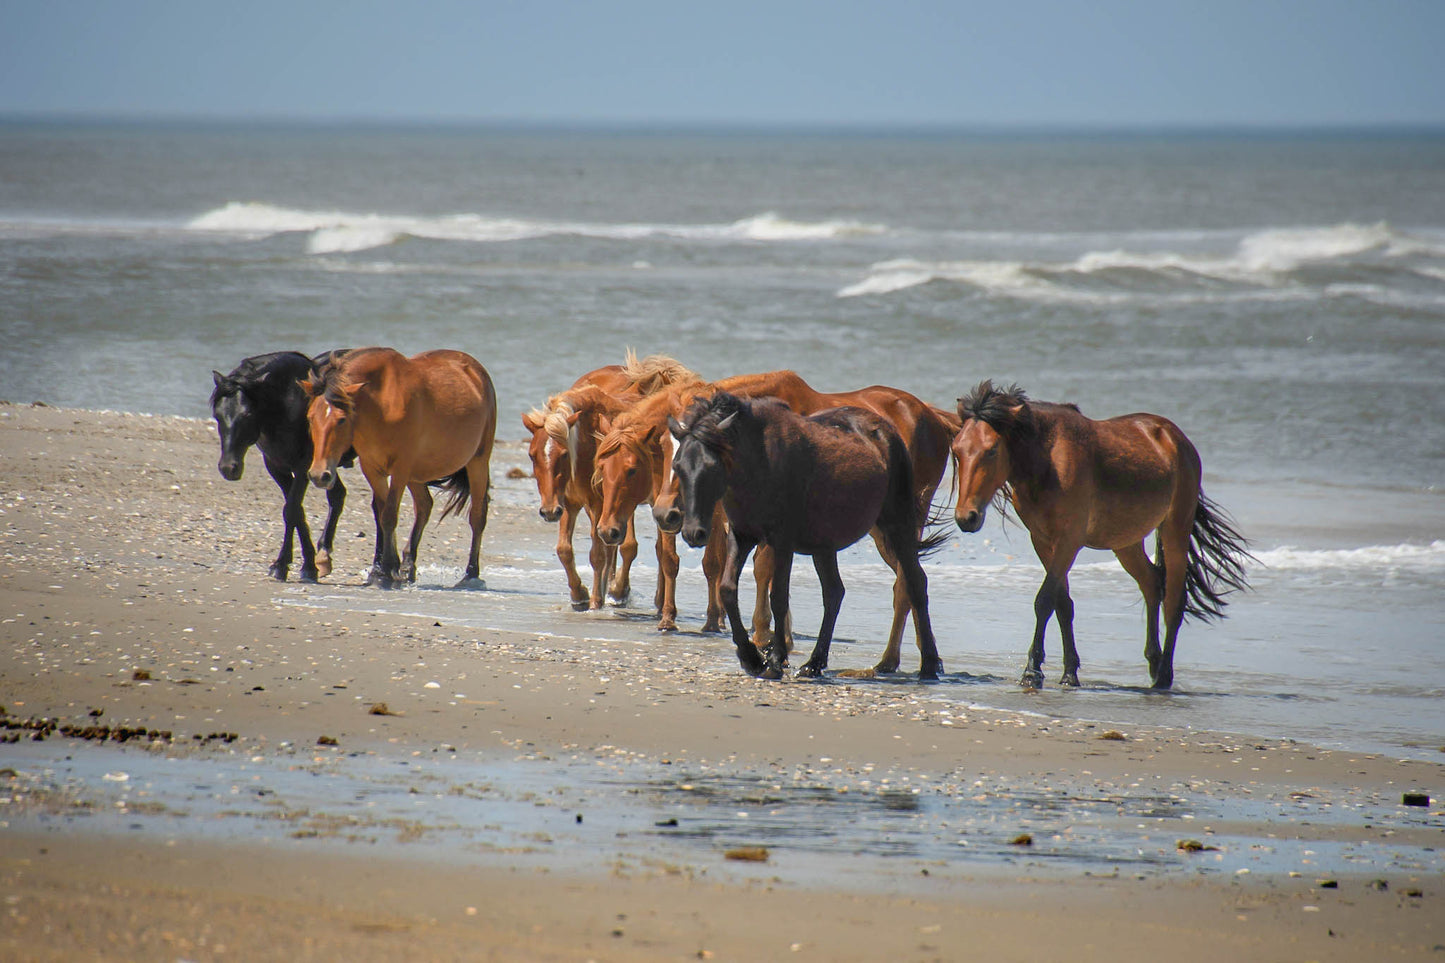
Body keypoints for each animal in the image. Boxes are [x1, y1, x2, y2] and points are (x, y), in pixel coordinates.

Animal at [209, 351, 352, 581]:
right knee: (338, 495)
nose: (228, 468)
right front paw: (308, 564)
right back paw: (324, 556)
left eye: (247, 414)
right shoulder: (277, 467)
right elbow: (297, 512)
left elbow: (291, 510)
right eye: (218, 415)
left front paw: (282, 565)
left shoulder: (303, 468)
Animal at [303, 345, 497, 584]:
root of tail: (477, 372)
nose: (319, 475)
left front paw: (385, 571)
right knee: (424, 506)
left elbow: (388, 515)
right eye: (310, 417)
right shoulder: (372, 468)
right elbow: (382, 512)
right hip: (416, 474)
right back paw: (408, 565)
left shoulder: (400, 468)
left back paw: (471, 574)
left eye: (341, 420)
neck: (382, 402)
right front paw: (385, 568)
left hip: (478, 462)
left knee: (478, 515)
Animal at [667, 387, 942, 679]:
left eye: (712, 466)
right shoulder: (741, 537)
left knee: (915, 583)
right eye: (678, 466)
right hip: (825, 545)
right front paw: (751, 657)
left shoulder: (782, 542)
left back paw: (929, 665)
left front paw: (775, 659)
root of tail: (887, 431)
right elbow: (728, 589)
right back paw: (814, 663)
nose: (693, 533)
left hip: (897, 526)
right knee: (834, 592)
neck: (759, 462)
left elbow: (778, 597)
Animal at [947, 378, 1254, 685]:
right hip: (1126, 542)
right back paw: (1154, 663)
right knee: (1152, 583)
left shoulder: (1068, 541)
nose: (966, 517)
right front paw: (1069, 672)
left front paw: (1032, 671)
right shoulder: (1043, 541)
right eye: (957, 450)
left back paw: (1164, 676)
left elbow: (1044, 601)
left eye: (991, 450)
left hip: (1175, 530)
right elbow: (1063, 604)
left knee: (1174, 602)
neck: (1048, 462)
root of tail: (1177, 439)